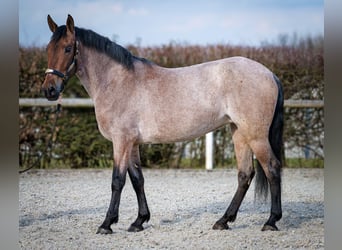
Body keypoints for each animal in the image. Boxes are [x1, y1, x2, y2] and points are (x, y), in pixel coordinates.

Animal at [42, 14, 284, 234]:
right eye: (48, 49)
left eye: (67, 49)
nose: (49, 90)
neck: (117, 82)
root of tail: (270, 74)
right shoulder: (132, 143)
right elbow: (137, 179)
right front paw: (139, 221)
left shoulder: (121, 141)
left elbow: (117, 181)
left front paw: (107, 224)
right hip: (239, 133)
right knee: (245, 174)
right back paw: (223, 221)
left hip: (256, 135)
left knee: (272, 168)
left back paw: (271, 221)